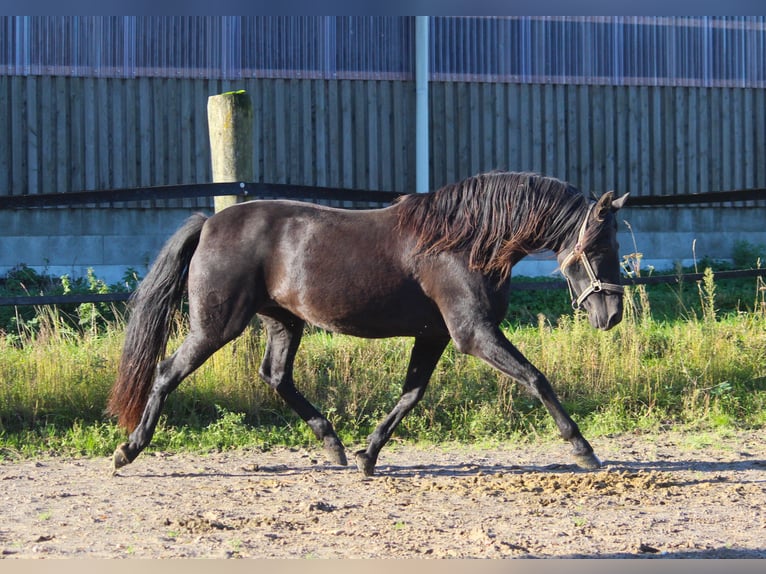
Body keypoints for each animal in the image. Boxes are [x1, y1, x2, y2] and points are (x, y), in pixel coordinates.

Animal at [112, 171, 632, 476]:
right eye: (602, 246)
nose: (611, 315)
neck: (465, 241)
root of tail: (209, 224)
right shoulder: (472, 333)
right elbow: (536, 378)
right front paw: (583, 449)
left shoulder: (434, 336)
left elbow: (411, 395)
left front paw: (368, 455)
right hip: (215, 325)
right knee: (167, 372)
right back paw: (128, 450)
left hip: (284, 322)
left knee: (276, 377)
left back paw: (334, 446)